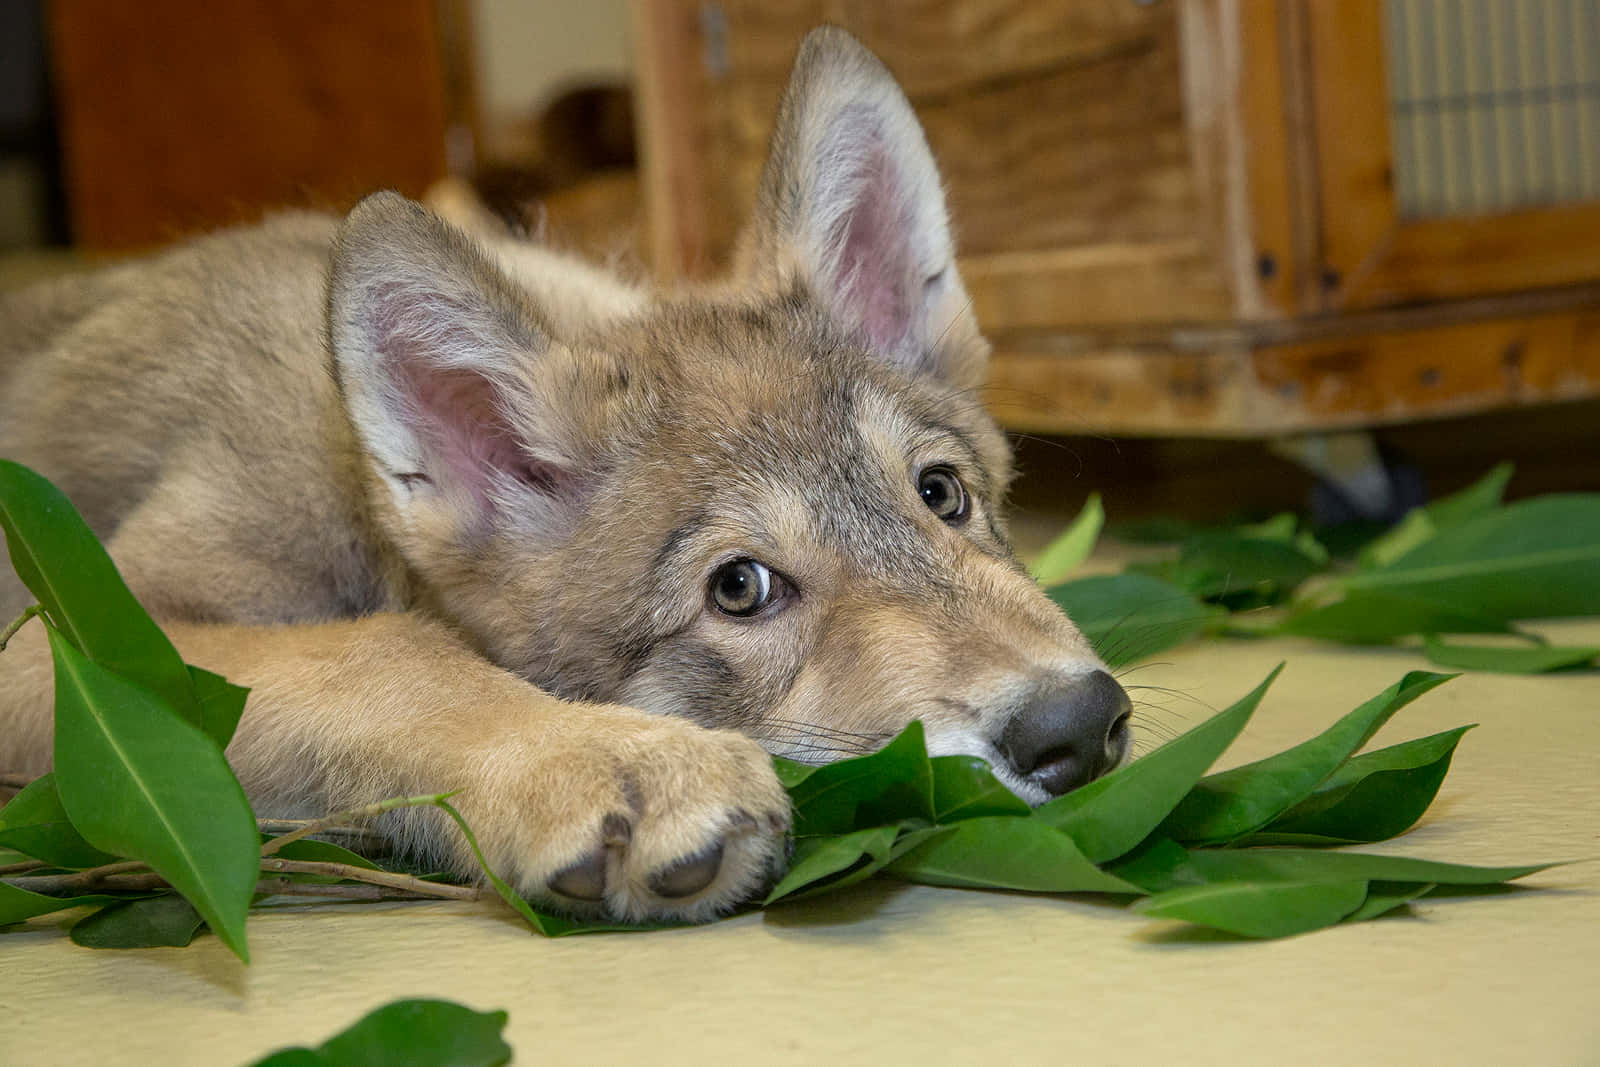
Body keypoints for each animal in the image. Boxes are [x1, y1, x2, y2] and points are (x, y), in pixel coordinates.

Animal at [0, 28, 1130, 921]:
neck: (347, 462)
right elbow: (382, 651)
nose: (1079, 726)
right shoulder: (69, 634)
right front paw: (604, 759)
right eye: (740, 586)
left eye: (941, 493)